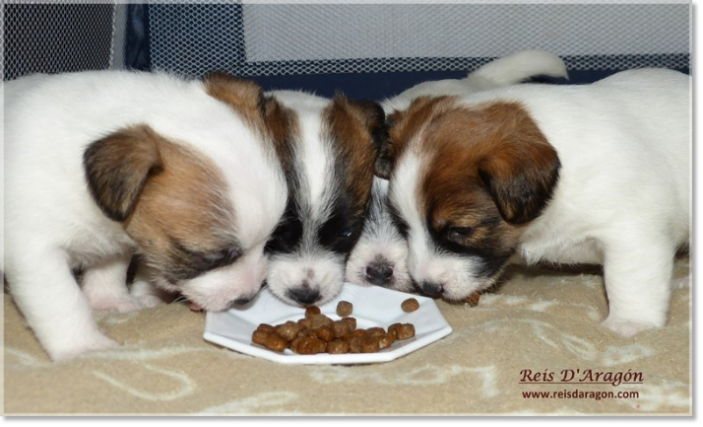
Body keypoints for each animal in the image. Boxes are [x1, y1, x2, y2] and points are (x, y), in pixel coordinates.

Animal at [2, 71, 288, 362]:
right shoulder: (38, 256)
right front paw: (84, 346)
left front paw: (110, 301)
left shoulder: (115, 241)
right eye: (211, 257)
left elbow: (109, 271)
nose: (247, 297)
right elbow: (63, 301)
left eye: (269, 241)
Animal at [382, 68, 692, 338]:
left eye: (459, 231)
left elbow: (628, 281)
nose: (428, 287)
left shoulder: (632, 234)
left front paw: (628, 323)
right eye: (402, 225)